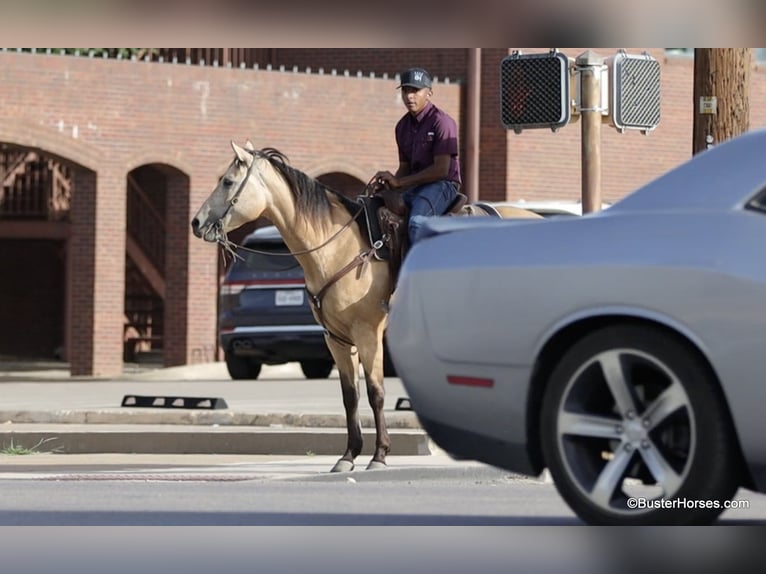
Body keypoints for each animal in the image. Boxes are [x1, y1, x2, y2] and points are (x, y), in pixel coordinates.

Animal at [191, 140, 542, 472]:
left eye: (227, 181)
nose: (196, 222)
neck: (337, 245)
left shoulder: (368, 334)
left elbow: (376, 392)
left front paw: (380, 455)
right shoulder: (335, 338)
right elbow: (351, 396)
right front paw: (348, 455)